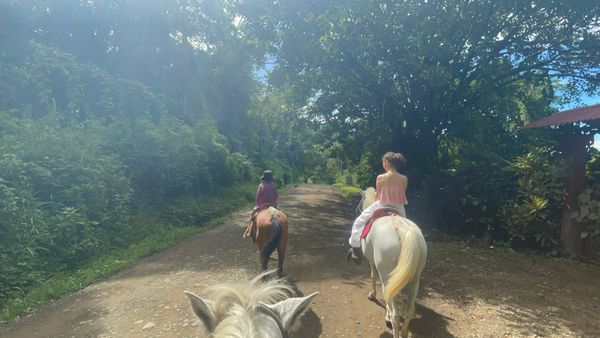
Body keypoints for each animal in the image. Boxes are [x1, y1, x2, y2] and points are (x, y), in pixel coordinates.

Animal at [360, 187, 426, 338]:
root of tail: (405, 231)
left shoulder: (372, 262)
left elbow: (373, 276)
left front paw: (372, 295)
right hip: (415, 279)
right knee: (409, 310)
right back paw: (404, 331)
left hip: (388, 276)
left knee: (395, 314)